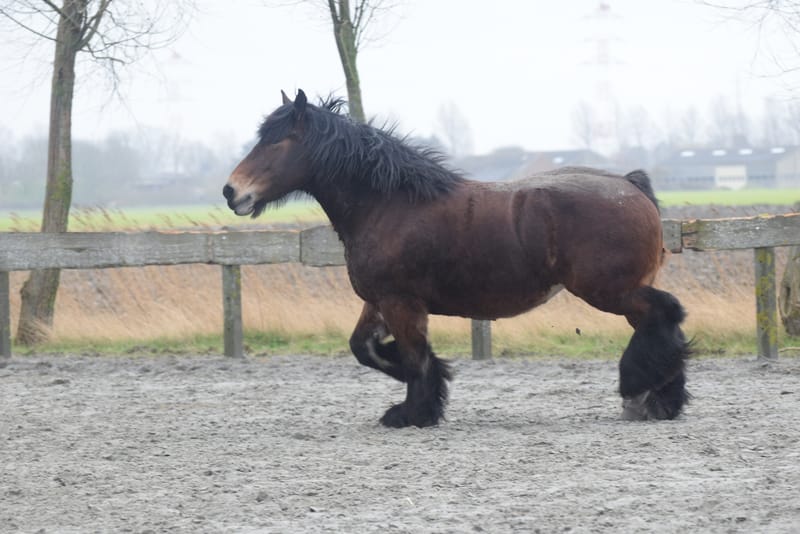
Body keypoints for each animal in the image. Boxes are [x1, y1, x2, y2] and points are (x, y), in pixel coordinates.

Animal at [223, 89, 691, 428]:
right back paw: (659, 399)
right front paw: (431, 384)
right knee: (660, 327)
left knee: (664, 314)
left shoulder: (400, 302)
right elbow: (366, 349)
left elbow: (414, 357)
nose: (232, 192)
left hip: (610, 291)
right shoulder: (379, 301)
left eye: (278, 141)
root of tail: (630, 186)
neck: (388, 205)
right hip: (622, 291)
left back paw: (639, 391)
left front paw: (413, 413)